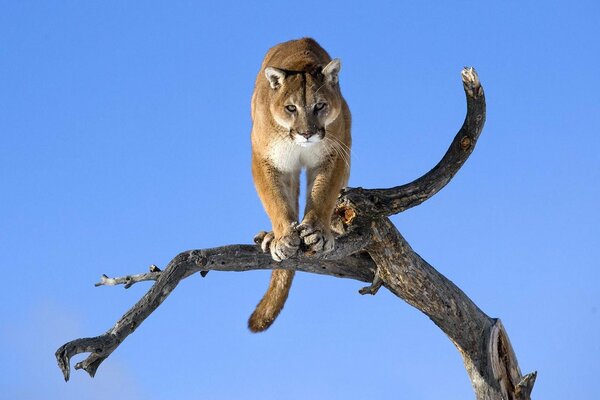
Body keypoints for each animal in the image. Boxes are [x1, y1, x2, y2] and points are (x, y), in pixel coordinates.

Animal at [248, 38, 352, 332]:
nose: (307, 133)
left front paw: (318, 232)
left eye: (320, 106)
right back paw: (270, 236)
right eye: (291, 108)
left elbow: (323, 194)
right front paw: (283, 237)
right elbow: (276, 201)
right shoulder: (266, 160)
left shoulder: (334, 153)